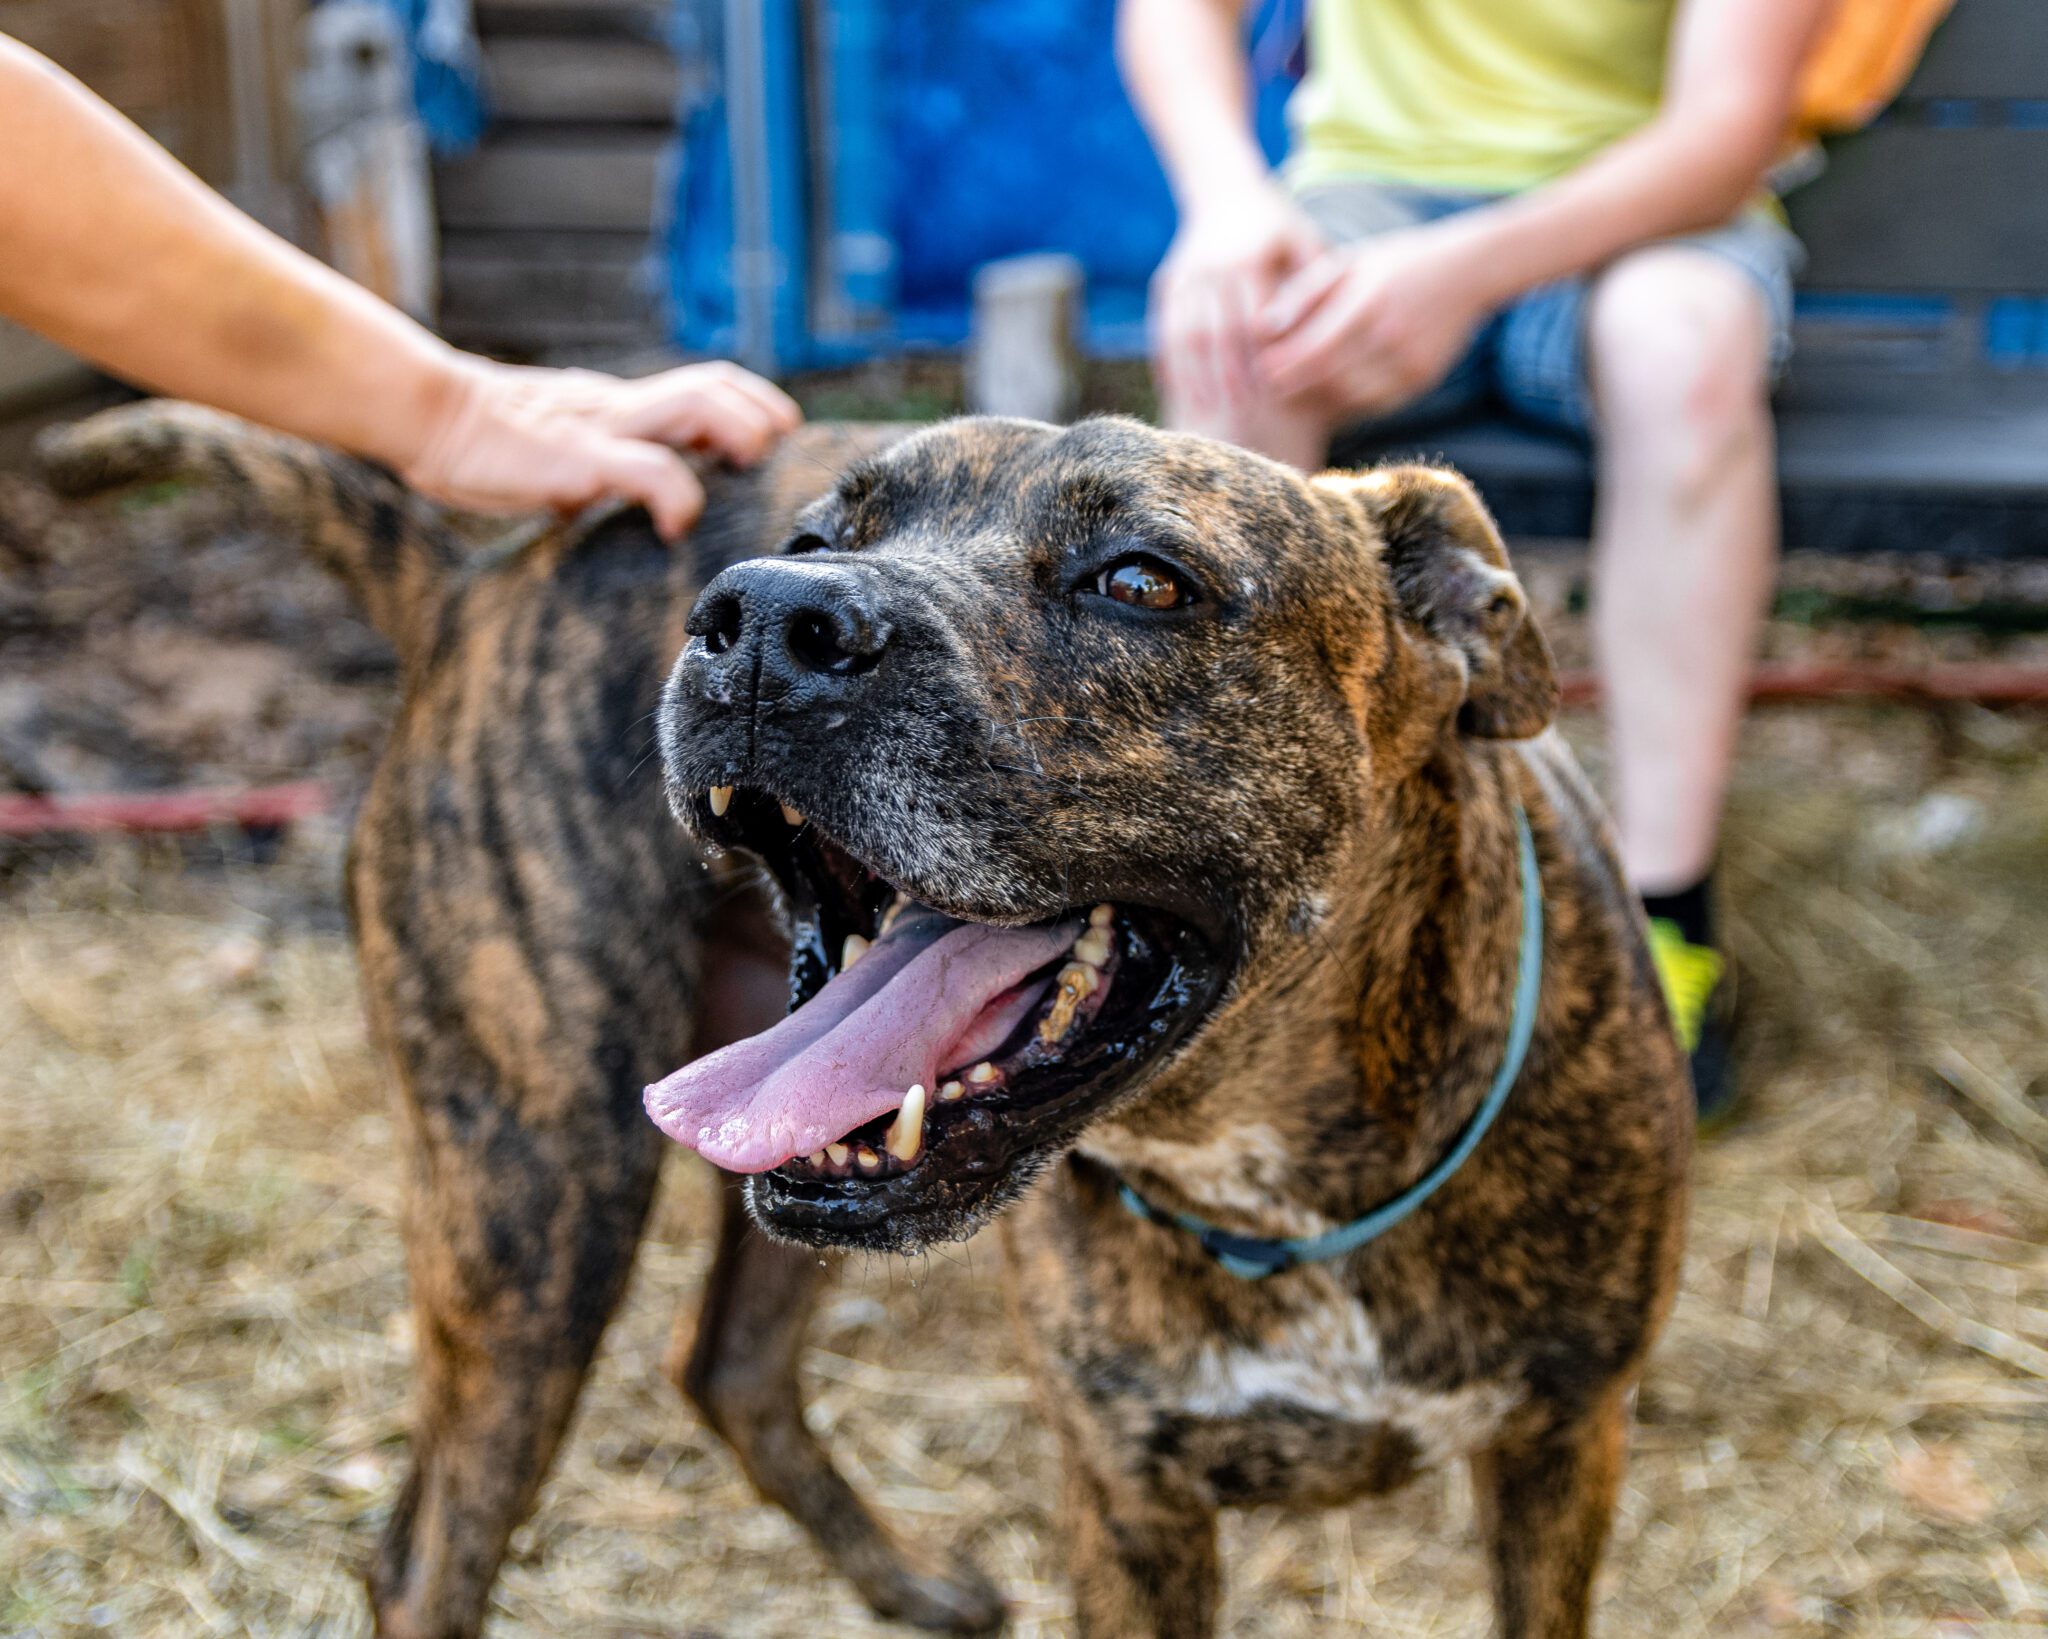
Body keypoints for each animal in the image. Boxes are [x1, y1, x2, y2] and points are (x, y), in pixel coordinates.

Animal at [644, 414, 1692, 1637]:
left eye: (1142, 582)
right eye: (816, 541)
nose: (763, 613)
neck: (1267, 1185)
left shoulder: (1564, 1445)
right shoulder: (1125, 1494)